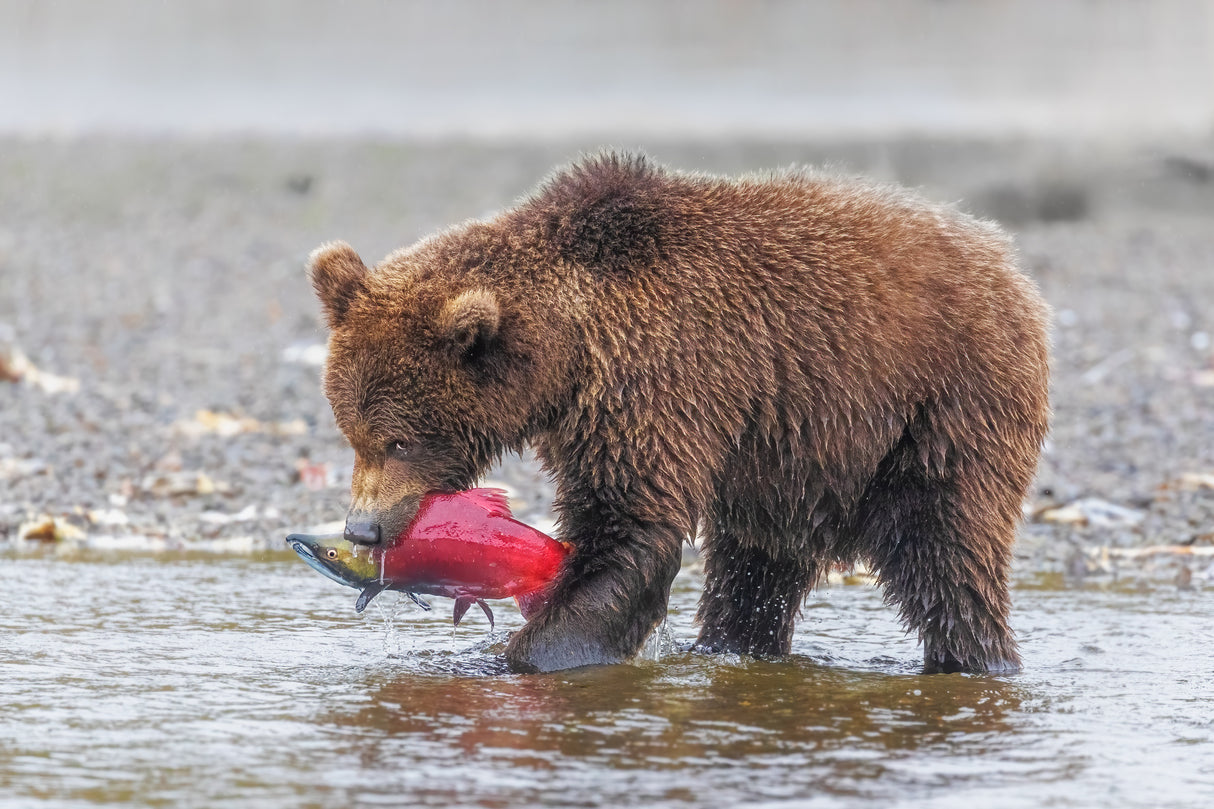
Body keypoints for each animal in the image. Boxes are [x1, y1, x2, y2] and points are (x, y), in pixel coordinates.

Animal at [308, 152, 1050, 675]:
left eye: (400, 441)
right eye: (352, 433)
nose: (363, 527)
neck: (567, 354)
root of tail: (1011, 267)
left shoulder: (654, 380)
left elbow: (632, 527)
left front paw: (522, 654)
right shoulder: (600, 414)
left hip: (939, 407)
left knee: (945, 553)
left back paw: (975, 660)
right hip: (791, 456)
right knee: (757, 567)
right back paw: (731, 647)